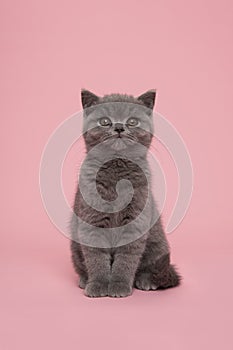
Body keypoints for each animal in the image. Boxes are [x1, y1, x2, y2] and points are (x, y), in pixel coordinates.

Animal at [70, 89, 181, 296]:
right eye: (105, 121)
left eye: (132, 121)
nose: (120, 127)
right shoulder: (92, 221)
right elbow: (96, 257)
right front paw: (98, 285)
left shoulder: (135, 222)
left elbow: (126, 259)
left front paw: (119, 285)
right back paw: (84, 280)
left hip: (158, 245)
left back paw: (146, 281)